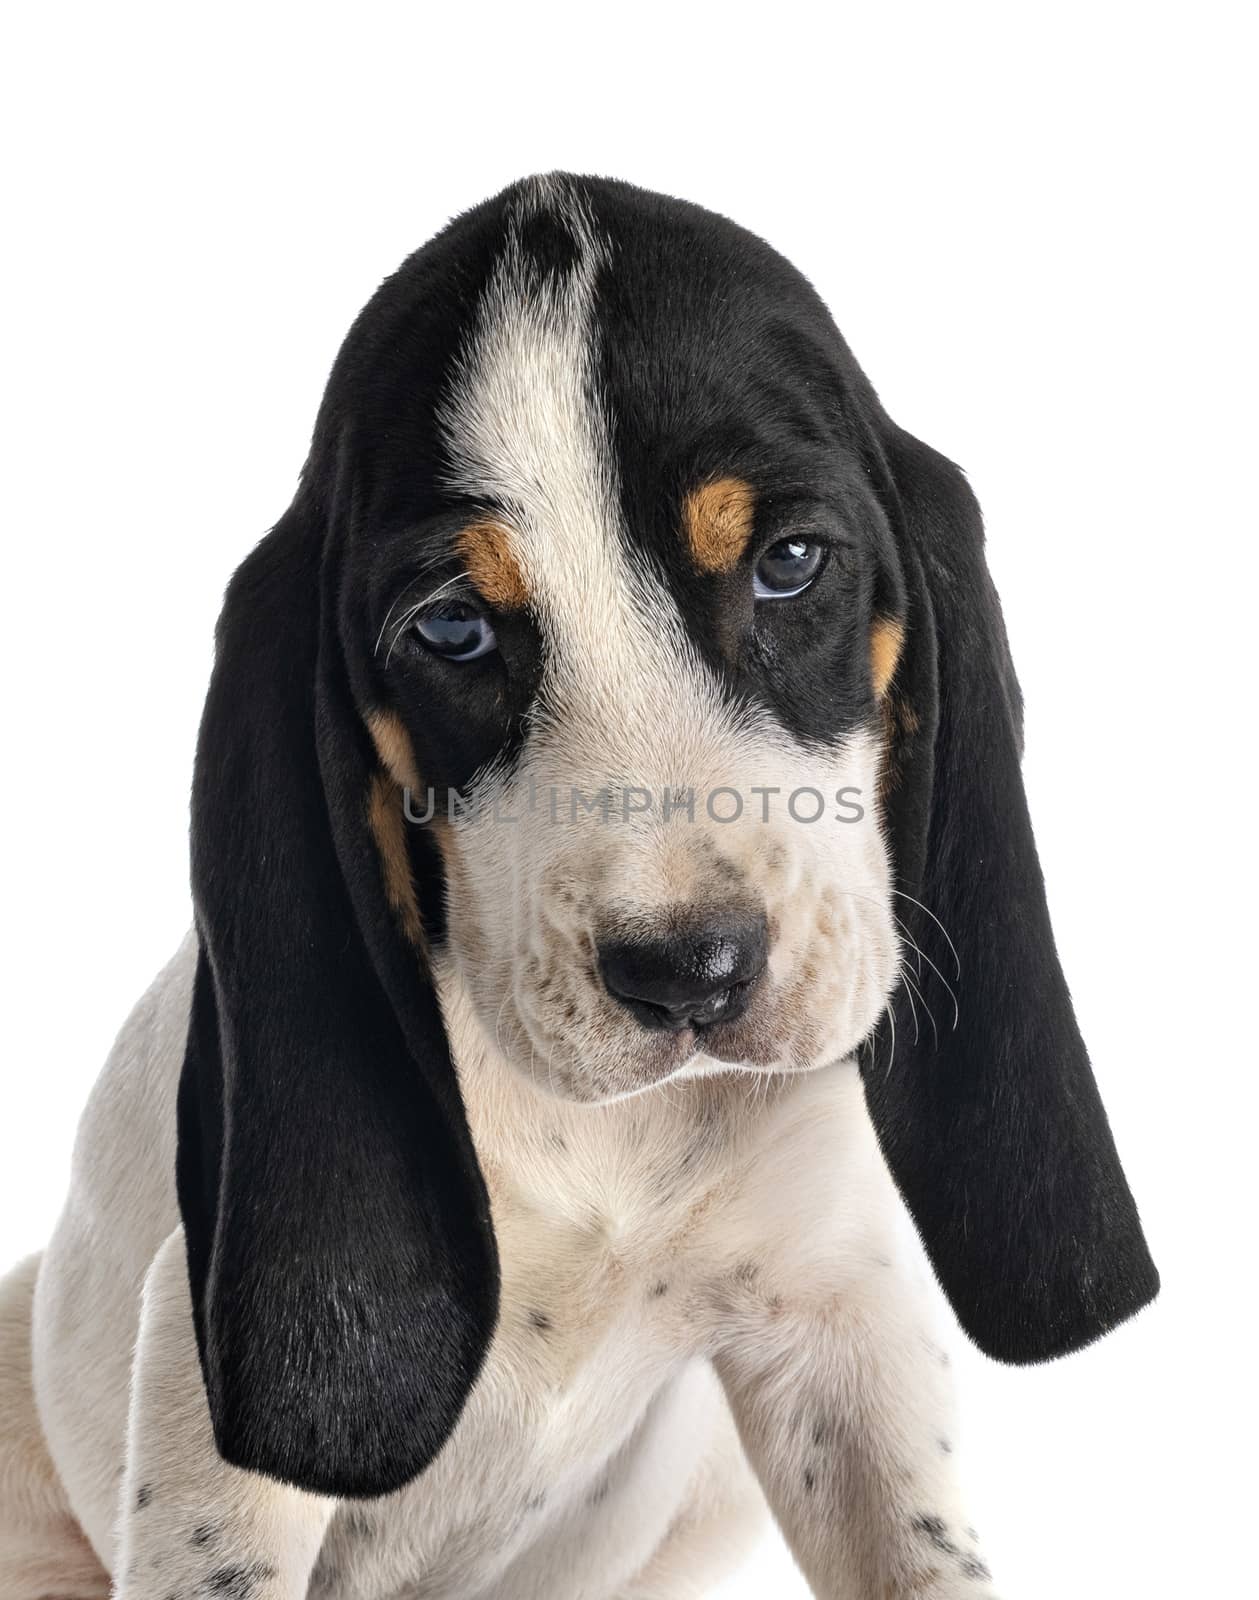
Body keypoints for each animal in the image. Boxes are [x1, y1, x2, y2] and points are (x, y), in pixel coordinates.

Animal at [2, 175, 1164, 1600]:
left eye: (789, 562)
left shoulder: (841, 1312)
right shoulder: (210, 1420)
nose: (689, 974)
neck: (622, 1141)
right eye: (451, 629)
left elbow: (917, 1547)